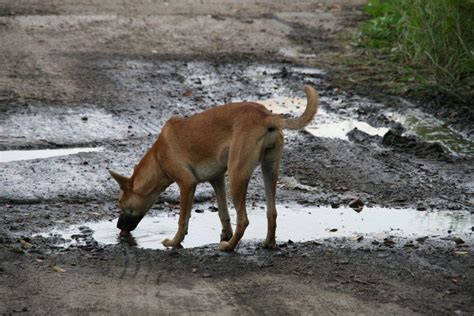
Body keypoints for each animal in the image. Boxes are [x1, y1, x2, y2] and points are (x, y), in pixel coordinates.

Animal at [109, 84, 320, 252]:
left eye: (120, 203)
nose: (118, 227)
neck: (158, 156)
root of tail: (265, 116)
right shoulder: (217, 179)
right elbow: (223, 213)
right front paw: (225, 233)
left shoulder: (187, 184)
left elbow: (183, 219)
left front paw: (175, 242)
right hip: (269, 171)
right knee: (272, 212)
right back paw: (268, 243)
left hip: (237, 177)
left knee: (243, 220)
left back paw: (229, 247)